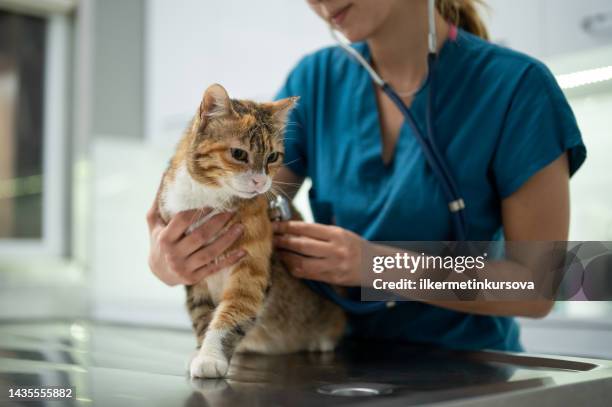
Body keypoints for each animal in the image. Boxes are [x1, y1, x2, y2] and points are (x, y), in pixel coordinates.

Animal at [158, 83, 346, 380]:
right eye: (239, 154)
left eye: (272, 157)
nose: (260, 181)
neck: (209, 200)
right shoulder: (193, 270)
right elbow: (202, 315)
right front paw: (201, 352)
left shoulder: (251, 269)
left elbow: (231, 313)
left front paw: (210, 357)